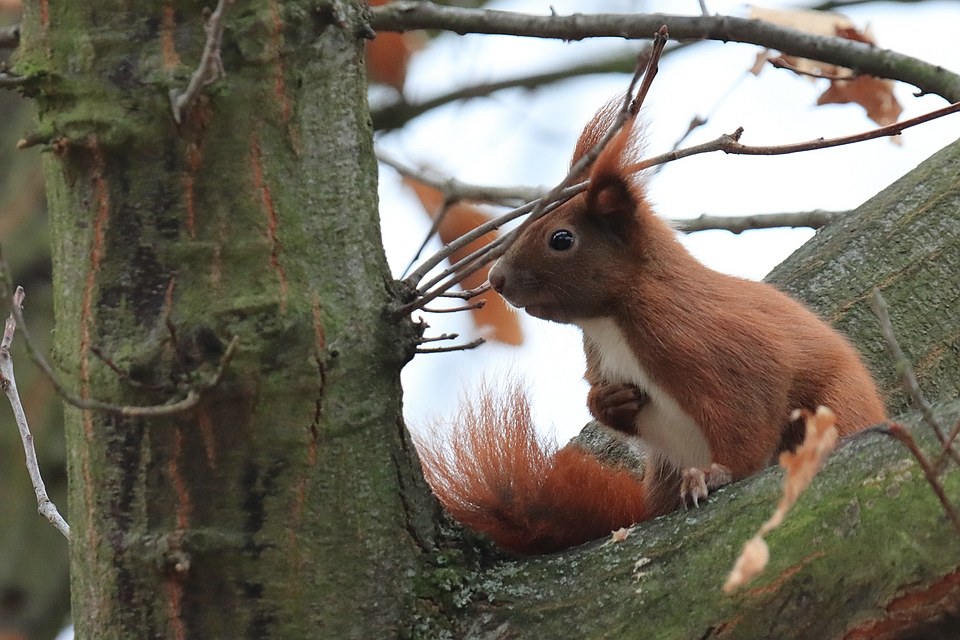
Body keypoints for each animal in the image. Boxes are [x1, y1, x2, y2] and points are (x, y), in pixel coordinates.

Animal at [416, 102, 888, 552]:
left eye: (561, 239)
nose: (496, 279)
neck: (608, 321)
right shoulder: (601, 359)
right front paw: (610, 402)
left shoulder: (715, 342)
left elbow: (749, 413)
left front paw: (717, 474)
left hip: (835, 407)